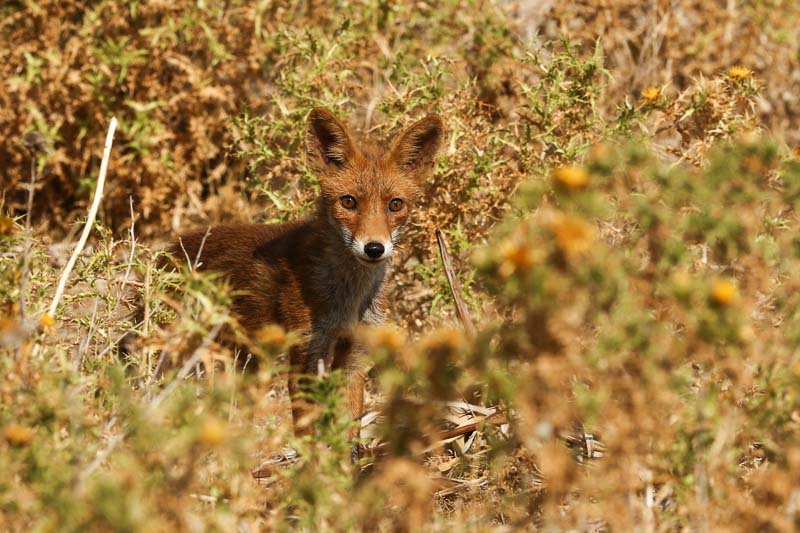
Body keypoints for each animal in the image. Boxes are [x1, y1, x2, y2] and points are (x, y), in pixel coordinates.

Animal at [158, 108, 444, 436]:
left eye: (395, 205)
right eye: (348, 201)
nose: (374, 248)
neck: (345, 298)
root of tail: (169, 247)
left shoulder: (353, 353)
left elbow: (349, 425)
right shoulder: (306, 352)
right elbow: (308, 429)